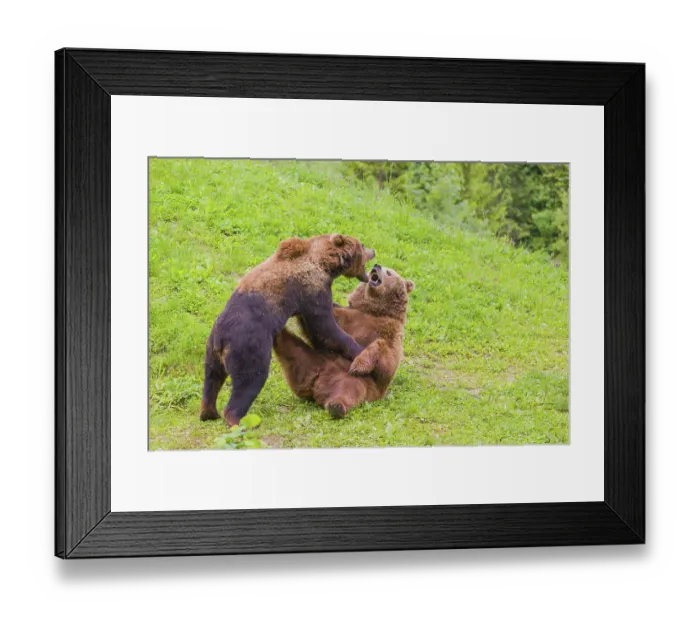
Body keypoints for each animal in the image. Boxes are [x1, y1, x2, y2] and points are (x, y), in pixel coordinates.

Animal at [200, 234, 376, 427]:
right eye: (363, 245)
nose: (373, 251)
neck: (326, 264)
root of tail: (221, 340)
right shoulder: (312, 289)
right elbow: (325, 328)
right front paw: (359, 351)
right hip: (248, 345)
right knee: (250, 380)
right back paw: (238, 421)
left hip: (211, 350)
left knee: (212, 380)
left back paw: (209, 413)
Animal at [273, 264, 414, 419]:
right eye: (379, 266)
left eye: (389, 272)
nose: (376, 266)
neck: (373, 311)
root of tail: (315, 387)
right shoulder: (345, 317)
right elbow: (319, 330)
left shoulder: (391, 332)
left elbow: (386, 362)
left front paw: (359, 365)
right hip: (310, 359)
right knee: (292, 348)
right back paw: (279, 333)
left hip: (356, 382)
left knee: (348, 391)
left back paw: (336, 406)